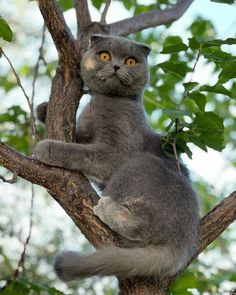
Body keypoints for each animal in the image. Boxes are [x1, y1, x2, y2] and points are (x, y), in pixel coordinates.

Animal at [33, 34, 199, 282]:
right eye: (104, 55)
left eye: (130, 61)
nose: (116, 66)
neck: (103, 101)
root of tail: (183, 245)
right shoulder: (88, 134)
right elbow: (80, 141)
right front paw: (43, 110)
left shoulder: (118, 151)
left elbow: (81, 152)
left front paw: (47, 148)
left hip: (140, 166)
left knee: (141, 227)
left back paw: (106, 209)